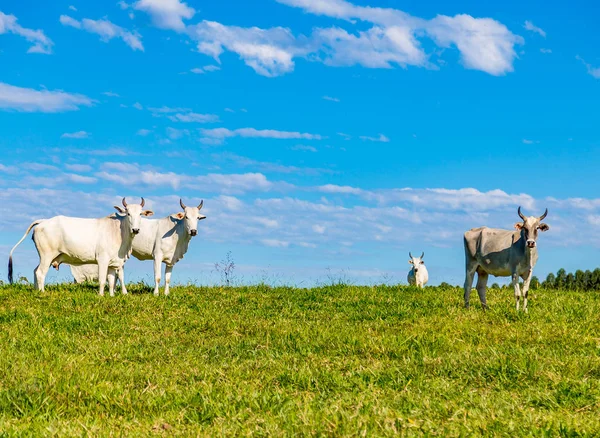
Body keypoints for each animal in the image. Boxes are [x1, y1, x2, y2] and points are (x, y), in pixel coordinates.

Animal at [8, 198, 154, 296]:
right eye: (128, 213)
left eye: (140, 214)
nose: (136, 229)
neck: (119, 231)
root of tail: (44, 221)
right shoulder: (102, 259)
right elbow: (103, 279)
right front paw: (101, 295)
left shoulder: (115, 262)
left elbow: (113, 280)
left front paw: (113, 295)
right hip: (46, 255)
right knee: (40, 273)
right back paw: (42, 292)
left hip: (47, 257)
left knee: (35, 271)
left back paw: (36, 290)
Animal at [69, 199, 206, 296]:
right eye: (186, 217)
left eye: (198, 218)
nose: (193, 231)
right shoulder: (157, 256)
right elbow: (158, 277)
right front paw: (156, 293)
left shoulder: (171, 260)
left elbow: (167, 278)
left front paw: (166, 294)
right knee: (119, 273)